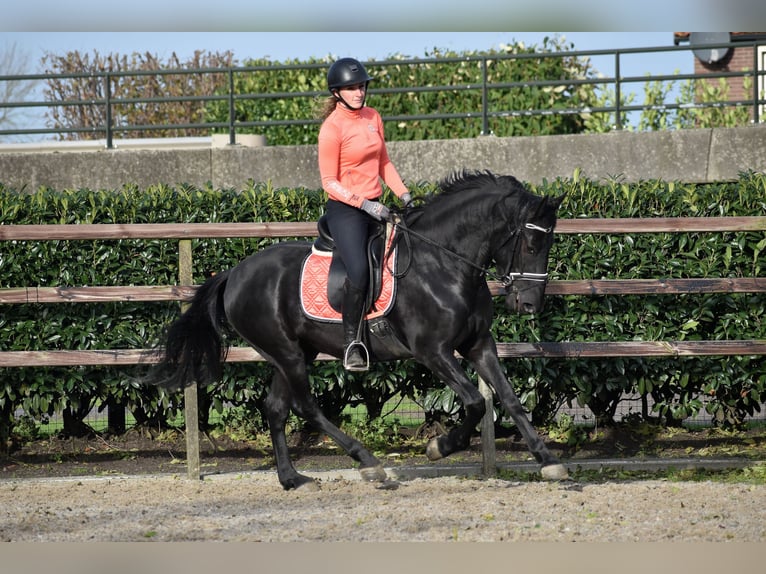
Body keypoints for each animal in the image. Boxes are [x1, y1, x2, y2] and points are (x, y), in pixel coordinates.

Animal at [152, 171, 568, 490]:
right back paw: (368, 462)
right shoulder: (433, 351)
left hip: (293, 352)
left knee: (276, 409)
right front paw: (440, 446)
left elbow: (509, 398)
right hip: (287, 353)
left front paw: (547, 460)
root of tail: (234, 274)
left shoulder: (479, 345)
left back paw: (292, 479)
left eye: (550, 241)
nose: (530, 305)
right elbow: (476, 402)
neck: (443, 262)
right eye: (531, 242)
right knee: (305, 406)